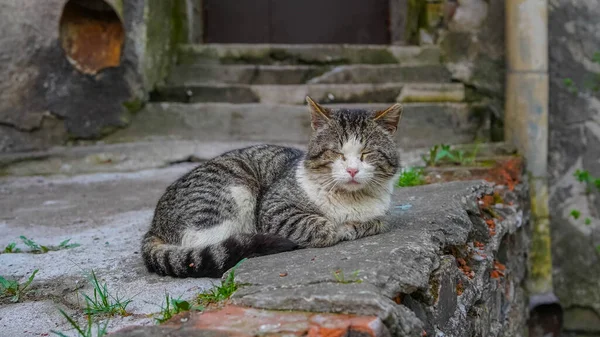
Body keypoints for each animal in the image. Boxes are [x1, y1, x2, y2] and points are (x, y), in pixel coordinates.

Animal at [141, 96, 404, 276]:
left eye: (367, 153)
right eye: (336, 152)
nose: (352, 170)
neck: (349, 201)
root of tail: (154, 225)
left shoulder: (382, 215)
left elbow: (376, 222)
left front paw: (353, 226)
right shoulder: (274, 208)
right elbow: (323, 227)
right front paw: (338, 229)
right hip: (234, 191)